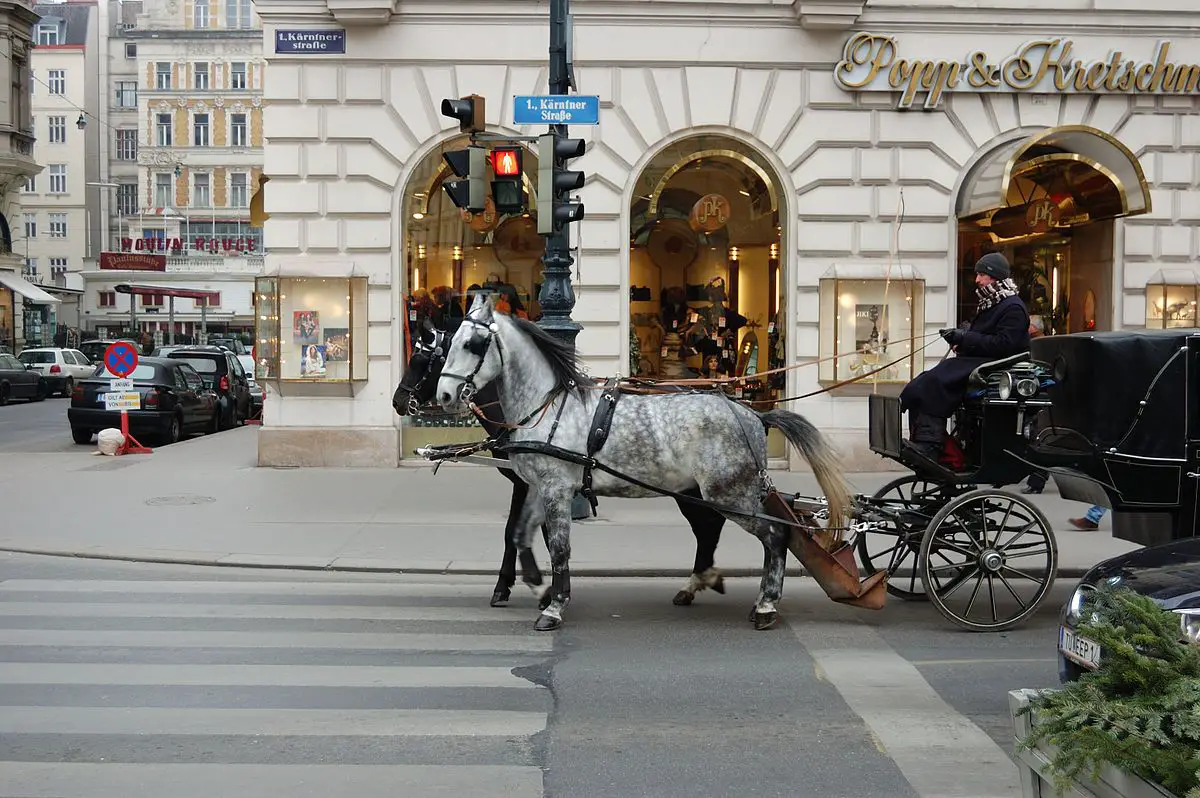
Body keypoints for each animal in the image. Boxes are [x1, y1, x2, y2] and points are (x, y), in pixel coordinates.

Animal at [434, 292, 854, 628]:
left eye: (473, 344)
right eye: (449, 342)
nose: (444, 395)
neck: (547, 407)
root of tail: (753, 414)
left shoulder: (556, 489)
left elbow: (559, 548)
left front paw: (554, 606)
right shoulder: (543, 487)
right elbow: (521, 536)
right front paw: (539, 589)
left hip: (731, 495)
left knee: (775, 535)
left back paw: (765, 604)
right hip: (703, 494)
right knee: (718, 533)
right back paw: (704, 586)